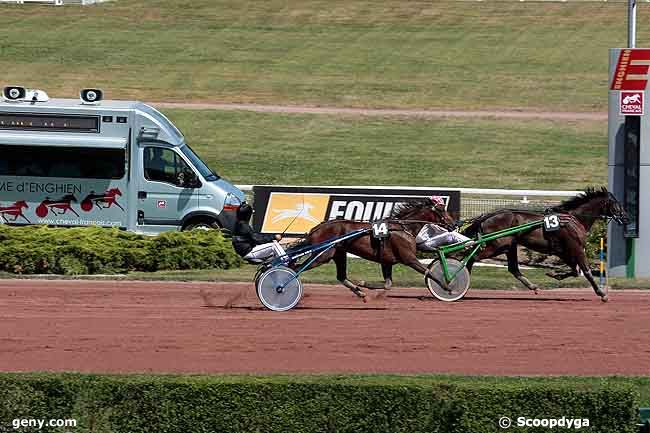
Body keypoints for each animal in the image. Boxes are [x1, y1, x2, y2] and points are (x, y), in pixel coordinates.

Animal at [294, 197, 456, 298]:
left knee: (341, 276)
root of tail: (316, 229)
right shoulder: (409, 259)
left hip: (338, 254)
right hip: (323, 255)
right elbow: (429, 272)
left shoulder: (387, 261)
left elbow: (388, 285)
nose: (454, 224)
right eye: (441, 209)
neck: (403, 228)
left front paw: (364, 284)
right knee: (296, 269)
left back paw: (360, 292)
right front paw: (447, 286)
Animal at [464, 187, 624, 302]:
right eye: (617, 204)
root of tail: (488, 216)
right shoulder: (576, 248)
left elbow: (574, 271)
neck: (573, 219)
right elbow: (587, 271)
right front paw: (602, 294)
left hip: (510, 246)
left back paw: (533, 286)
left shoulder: (563, 251)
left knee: (513, 269)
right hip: (498, 245)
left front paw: (554, 274)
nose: (626, 217)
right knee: (472, 258)